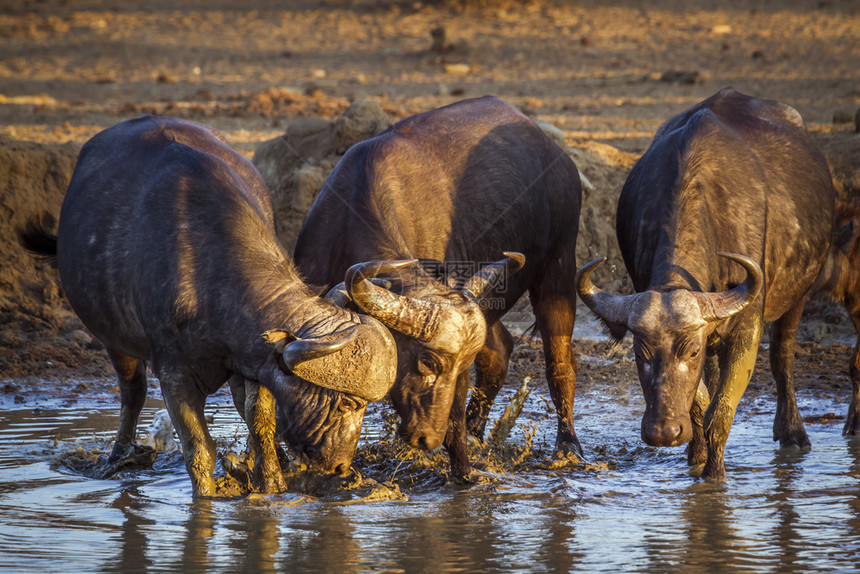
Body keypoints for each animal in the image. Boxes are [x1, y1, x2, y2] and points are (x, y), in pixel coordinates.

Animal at [18, 115, 408, 498]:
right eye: (347, 403)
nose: (341, 466)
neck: (205, 272)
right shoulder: (173, 374)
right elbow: (198, 446)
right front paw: (206, 494)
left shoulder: (253, 360)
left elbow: (261, 422)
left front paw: (273, 485)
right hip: (112, 339)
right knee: (132, 392)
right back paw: (119, 456)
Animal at [296, 95, 584, 482]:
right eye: (428, 361)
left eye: (459, 368)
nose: (425, 438)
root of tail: (557, 155)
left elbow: (456, 419)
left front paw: (465, 474)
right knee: (500, 351)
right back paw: (480, 433)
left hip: (560, 266)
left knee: (559, 362)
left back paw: (567, 447)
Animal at [576, 86, 832, 482]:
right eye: (639, 353)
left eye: (690, 352)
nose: (663, 432)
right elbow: (700, 405)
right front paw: (697, 458)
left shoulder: (747, 329)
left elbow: (721, 412)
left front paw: (715, 476)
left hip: (800, 293)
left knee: (783, 356)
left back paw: (792, 431)